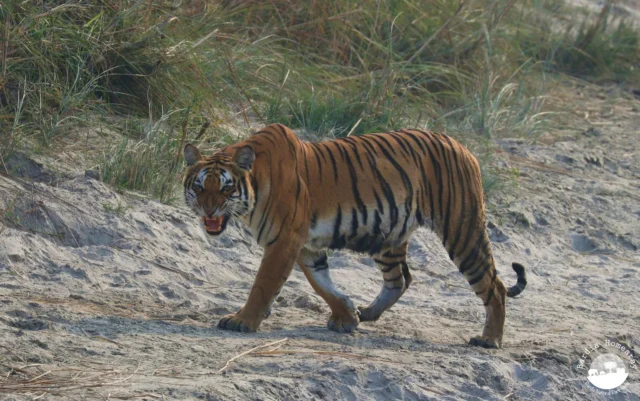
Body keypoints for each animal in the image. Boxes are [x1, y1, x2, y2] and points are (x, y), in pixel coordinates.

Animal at [182, 123, 527, 348]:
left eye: (225, 188)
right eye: (199, 187)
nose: (208, 209)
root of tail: (462, 146)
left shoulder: (284, 241)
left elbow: (263, 285)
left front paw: (243, 321)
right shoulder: (305, 245)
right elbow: (322, 284)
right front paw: (347, 316)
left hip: (461, 231)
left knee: (494, 286)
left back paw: (489, 339)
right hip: (388, 236)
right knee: (400, 279)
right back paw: (369, 312)